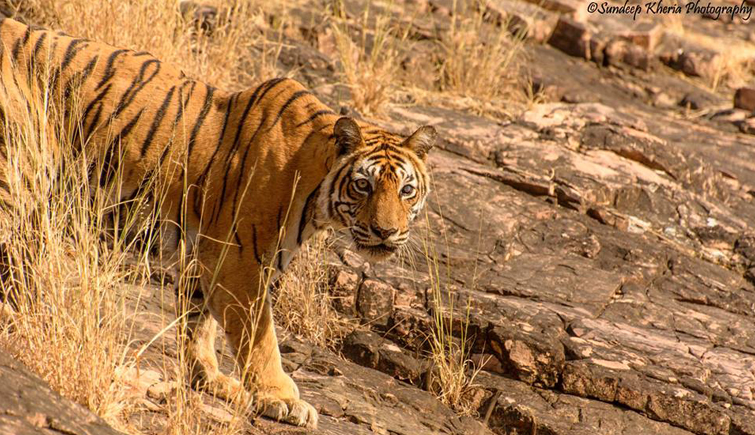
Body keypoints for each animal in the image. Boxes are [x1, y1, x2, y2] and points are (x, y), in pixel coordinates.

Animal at [0, 16, 438, 430]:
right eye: (364, 185)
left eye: (407, 190)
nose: (385, 232)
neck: (316, 190)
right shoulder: (239, 262)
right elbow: (260, 337)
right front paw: (282, 398)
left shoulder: (206, 252)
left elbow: (198, 321)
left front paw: (209, 380)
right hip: (17, 175)